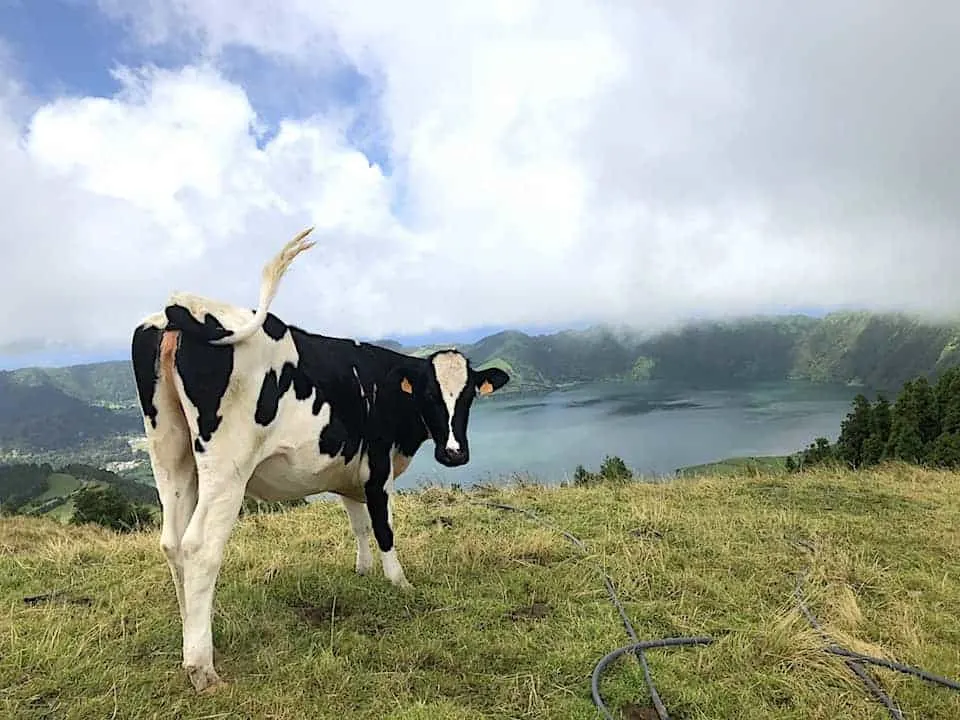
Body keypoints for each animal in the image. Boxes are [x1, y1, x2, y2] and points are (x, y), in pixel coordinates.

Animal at [133, 229, 516, 692]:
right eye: (427, 393)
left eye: (469, 395)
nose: (455, 453)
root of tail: (179, 311)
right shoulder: (378, 467)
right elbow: (384, 528)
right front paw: (399, 583)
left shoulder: (349, 473)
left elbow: (360, 525)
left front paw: (363, 573)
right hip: (227, 464)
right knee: (200, 546)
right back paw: (201, 667)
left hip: (170, 452)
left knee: (171, 543)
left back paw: (193, 634)